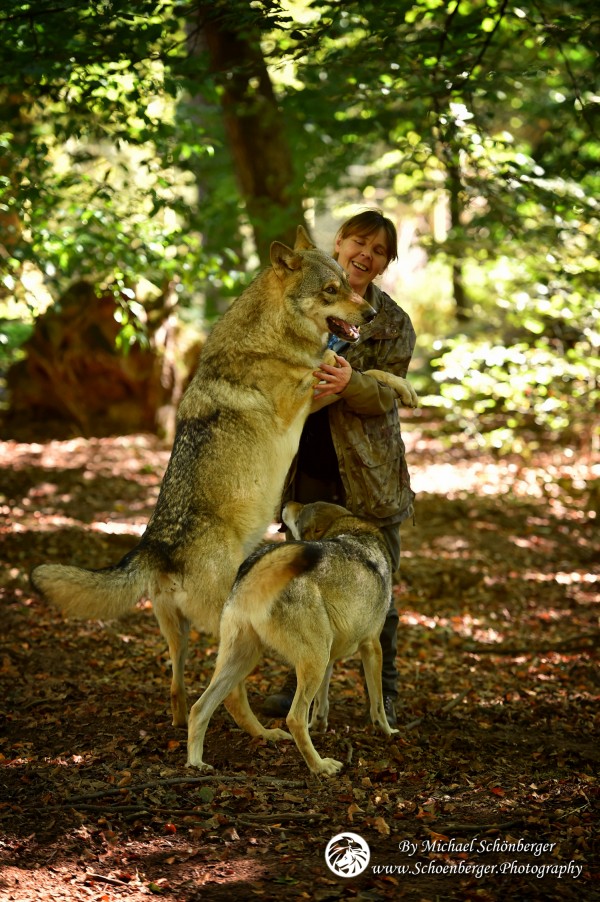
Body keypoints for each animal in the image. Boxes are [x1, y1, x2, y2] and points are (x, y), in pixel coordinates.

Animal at [185, 502, 396, 776]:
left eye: (302, 510)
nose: (285, 504)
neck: (355, 532)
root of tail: (255, 572)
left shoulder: (331, 657)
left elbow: (321, 702)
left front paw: (320, 724)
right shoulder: (372, 646)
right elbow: (377, 701)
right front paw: (387, 731)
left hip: (249, 659)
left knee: (205, 707)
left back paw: (199, 761)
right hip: (311, 660)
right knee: (294, 718)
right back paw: (320, 766)